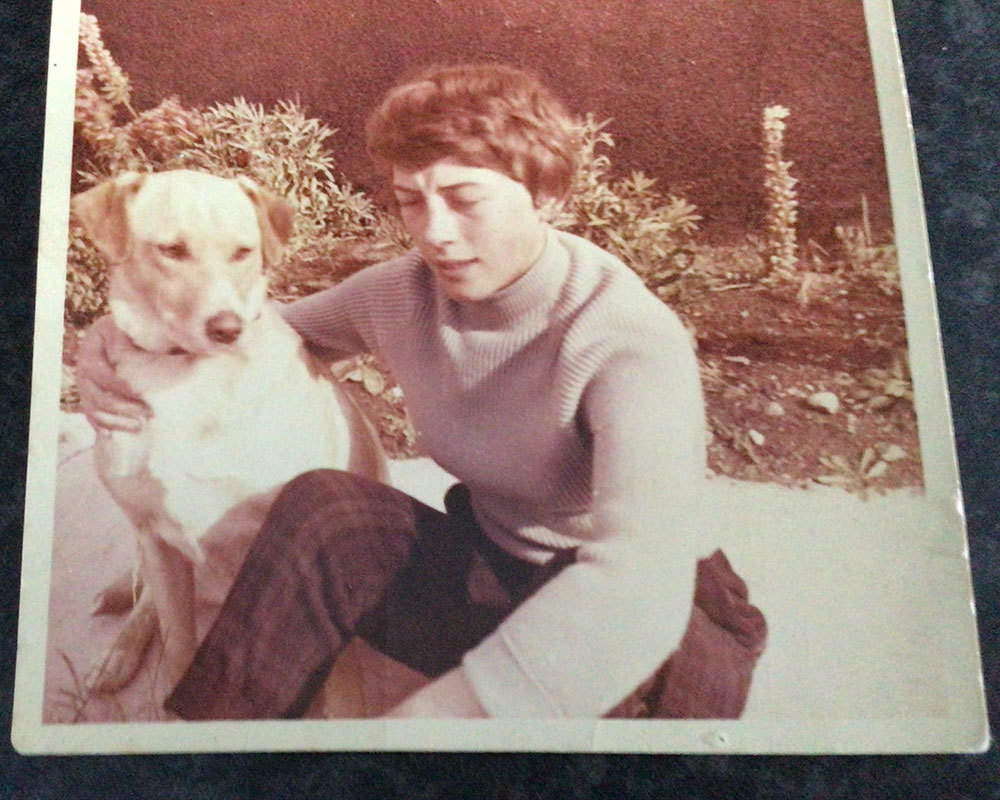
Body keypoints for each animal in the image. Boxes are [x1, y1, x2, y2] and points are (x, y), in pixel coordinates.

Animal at [71, 170, 386, 700]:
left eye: (243, 252)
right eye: (171, 250)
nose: (227, 328)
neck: (191, 377)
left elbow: (341, 689)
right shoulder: (156, 537)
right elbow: (177, 648)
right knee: (147, 603)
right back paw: (119, 655)